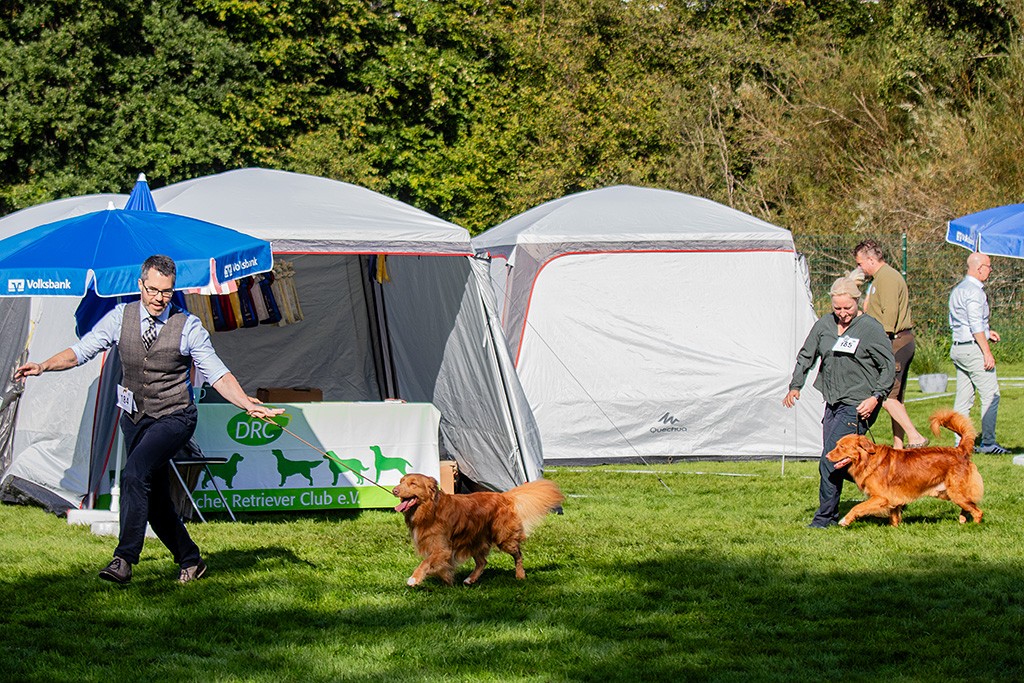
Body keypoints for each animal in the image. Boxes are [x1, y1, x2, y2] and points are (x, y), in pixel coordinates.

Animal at [393, 475, 569, 589]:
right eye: (400, 481)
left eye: (413, 484)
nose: (394, 490)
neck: (430, 510)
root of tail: (503, 496)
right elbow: (440, 566)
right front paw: (448, 580)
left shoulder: (442, 549)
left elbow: (425, 563)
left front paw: (414, 579)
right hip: (475, 539)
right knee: (482, 562)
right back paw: (470, 579)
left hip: (503, 538)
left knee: (518, 554)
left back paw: (520, 575)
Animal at [823, 409, 983, 528]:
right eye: (837, 445)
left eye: (841, 447)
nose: (826, 456)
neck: (868, 459)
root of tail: (960, 450)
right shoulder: (893, 498)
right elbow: (894, 515)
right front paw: (894, 528)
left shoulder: (881, 497)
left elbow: (857, 507)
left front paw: (845, 520)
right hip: (952, 493)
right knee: (969, 507)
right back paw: (962, 521)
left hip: (956, 491)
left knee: (977, 511)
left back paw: (974, 526)